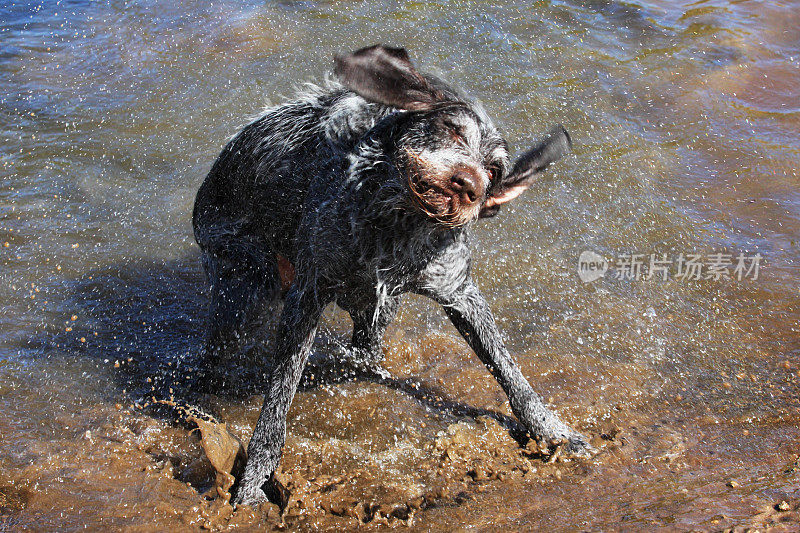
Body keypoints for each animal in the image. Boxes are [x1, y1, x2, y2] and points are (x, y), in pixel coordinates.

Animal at [192, 44, 592, 502]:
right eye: (453, 130)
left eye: (494, 171)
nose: (468, 184)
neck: (396, 224)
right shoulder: (307, 295)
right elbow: (278, 397)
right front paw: (257, 473)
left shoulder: (458, 293)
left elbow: (509, 372)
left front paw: (552, 430)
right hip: (242, 285)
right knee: (217, 349)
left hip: (376, 309)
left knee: (366, 346)